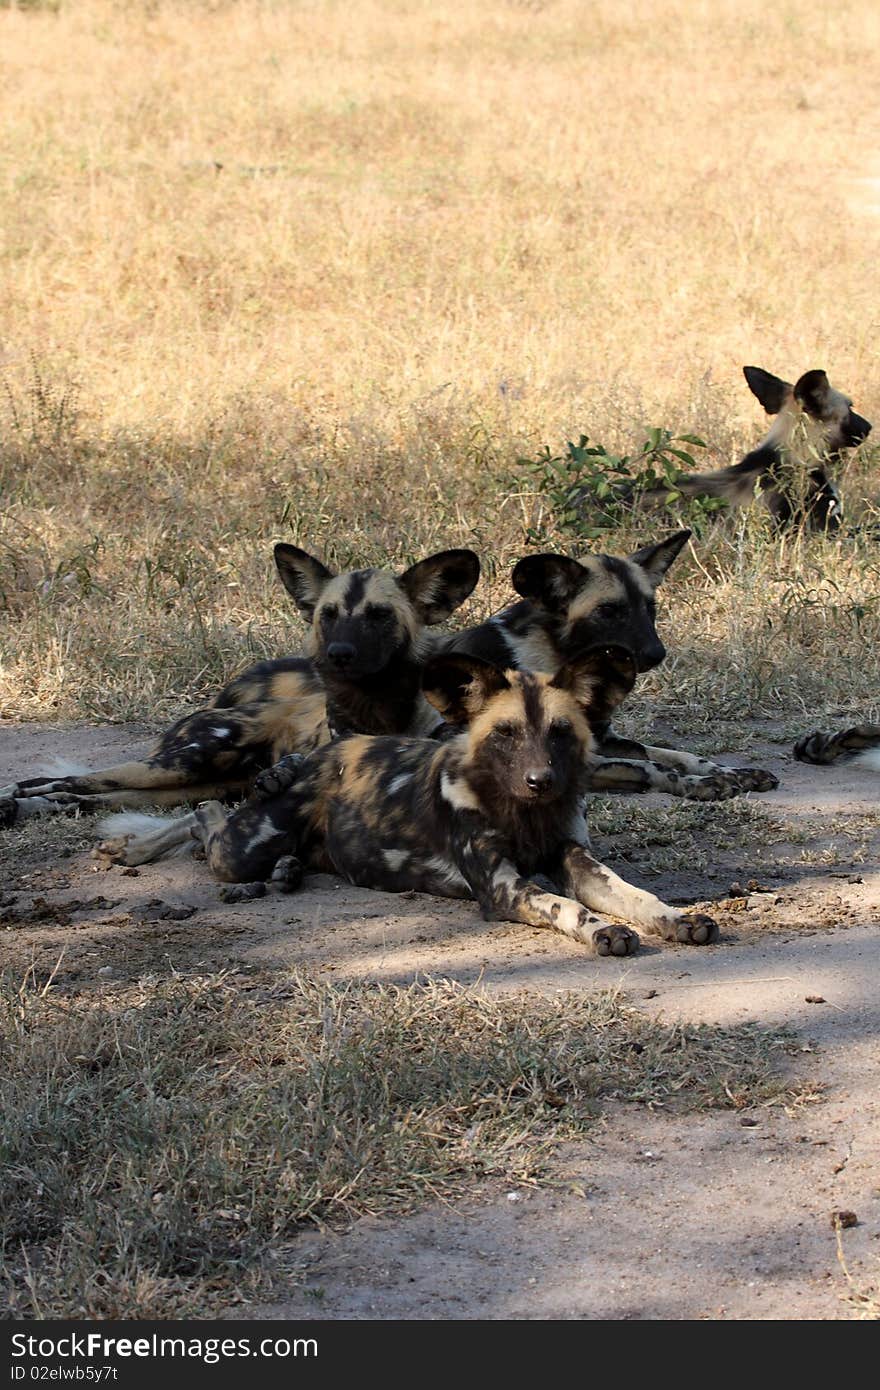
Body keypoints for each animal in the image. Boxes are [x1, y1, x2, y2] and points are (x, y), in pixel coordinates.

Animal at [0, 542, 481, 822]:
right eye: (328, 616)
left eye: (379, 616)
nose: (339, 654)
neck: (376, 706)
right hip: (185, 761)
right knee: (74, 781)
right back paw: (15, 798)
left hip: (188, 788)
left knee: (90, 797)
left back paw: (26, 806)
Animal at [101, 647, 722, 956]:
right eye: (505, 733)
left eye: (561, 732)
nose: (540, 780)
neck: (524, 813)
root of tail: (320, 752)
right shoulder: (503, 888)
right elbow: (567, 907)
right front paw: (600, 931)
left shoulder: (577, 860)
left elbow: (635, 895)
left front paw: (674, 919)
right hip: (239, 848)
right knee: (205, 816)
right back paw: (135, 847)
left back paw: (285, 872)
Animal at [450, 525, 778, 800]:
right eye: (608, 611)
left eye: (649, 607)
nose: (656, 653)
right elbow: (651, 766)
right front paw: (699, 784)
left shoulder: (605, 738)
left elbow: (678, 756)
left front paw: (732, 773)